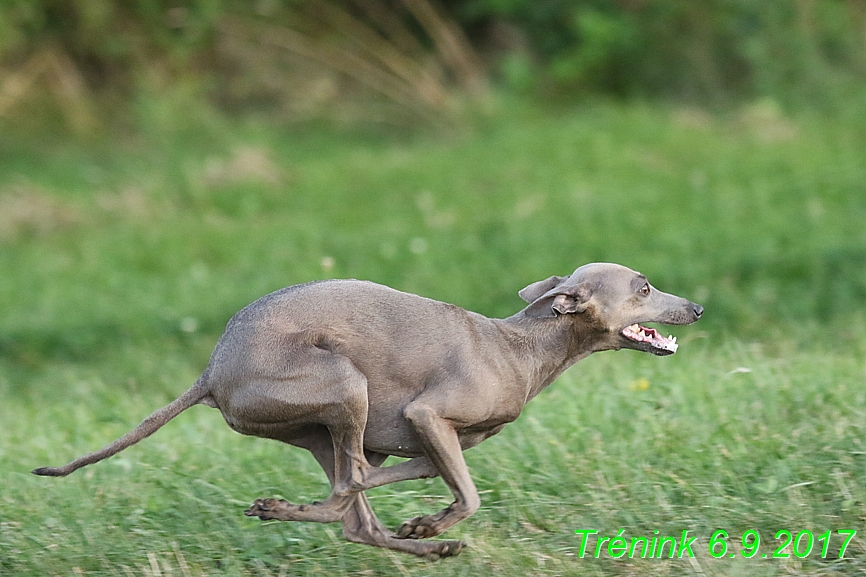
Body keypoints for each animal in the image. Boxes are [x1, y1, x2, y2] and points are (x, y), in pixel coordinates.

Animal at [33, 262, 704, 560]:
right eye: (644, 287)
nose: (697, 307)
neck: (522, 346)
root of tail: (213, 370)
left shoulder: (430, 443)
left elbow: (415, 483)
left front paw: (425, 525)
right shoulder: (430, 417)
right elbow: (469, 495)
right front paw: (434, 522)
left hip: (330, 424)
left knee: (353, 506)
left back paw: (421, 546)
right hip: (342, 382)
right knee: (343, 495)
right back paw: (283, 509)